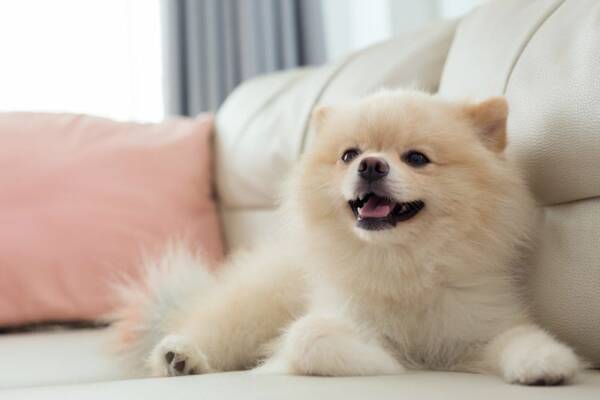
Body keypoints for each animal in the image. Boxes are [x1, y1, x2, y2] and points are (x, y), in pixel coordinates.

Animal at [110, 90, 580, 384]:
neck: (402, 264)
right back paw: (180, 356)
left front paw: (548, 362)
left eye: (416, 158)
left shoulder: (478, 325)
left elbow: (521, 337)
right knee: (210, 330)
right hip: (256, 308)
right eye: (349, 154)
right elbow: (309, 339)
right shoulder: (335, 316)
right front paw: (389, 361)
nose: (371, 164)